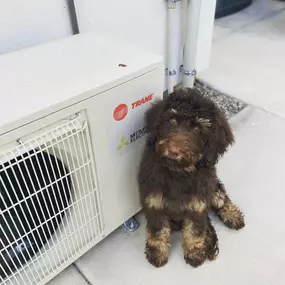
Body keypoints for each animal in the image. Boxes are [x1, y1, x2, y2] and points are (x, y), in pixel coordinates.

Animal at [138, 87, 244, 268]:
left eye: (197, 129)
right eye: (172, 120)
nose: (173, 151)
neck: (178, 172)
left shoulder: (198, 205)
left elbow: (194, 230)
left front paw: (195, 252)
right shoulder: (154, 201)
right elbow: (158, 229)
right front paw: (157, 252)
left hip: (213, 187)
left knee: (221, 198)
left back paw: (233, 215)